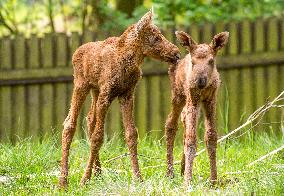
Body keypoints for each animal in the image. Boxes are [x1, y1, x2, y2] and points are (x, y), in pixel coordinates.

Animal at [58, 9, 181, 188]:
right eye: (156, 37)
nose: (177, 53)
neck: (130, 63)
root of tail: (75, 53)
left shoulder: (127, 94)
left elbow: (131, 134)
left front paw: (138, 177)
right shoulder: (107, 94)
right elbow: (98, 137)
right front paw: (84, 179)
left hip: (95, 90)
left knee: (90, 119)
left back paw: (98, 173)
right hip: (81, 84)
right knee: (69, 123)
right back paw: (63, 181)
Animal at [165, 30, 230, 185]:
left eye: (211, 61)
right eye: (193, 62)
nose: (200, 81)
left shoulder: (210, 100)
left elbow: (211, 137)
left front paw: (214, 180)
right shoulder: (193, 99)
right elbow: (191, 140)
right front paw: (187, 182)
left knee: (183, 121)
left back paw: (182, 169)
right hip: (178, 95)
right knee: (171, 124)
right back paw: (170, 173)